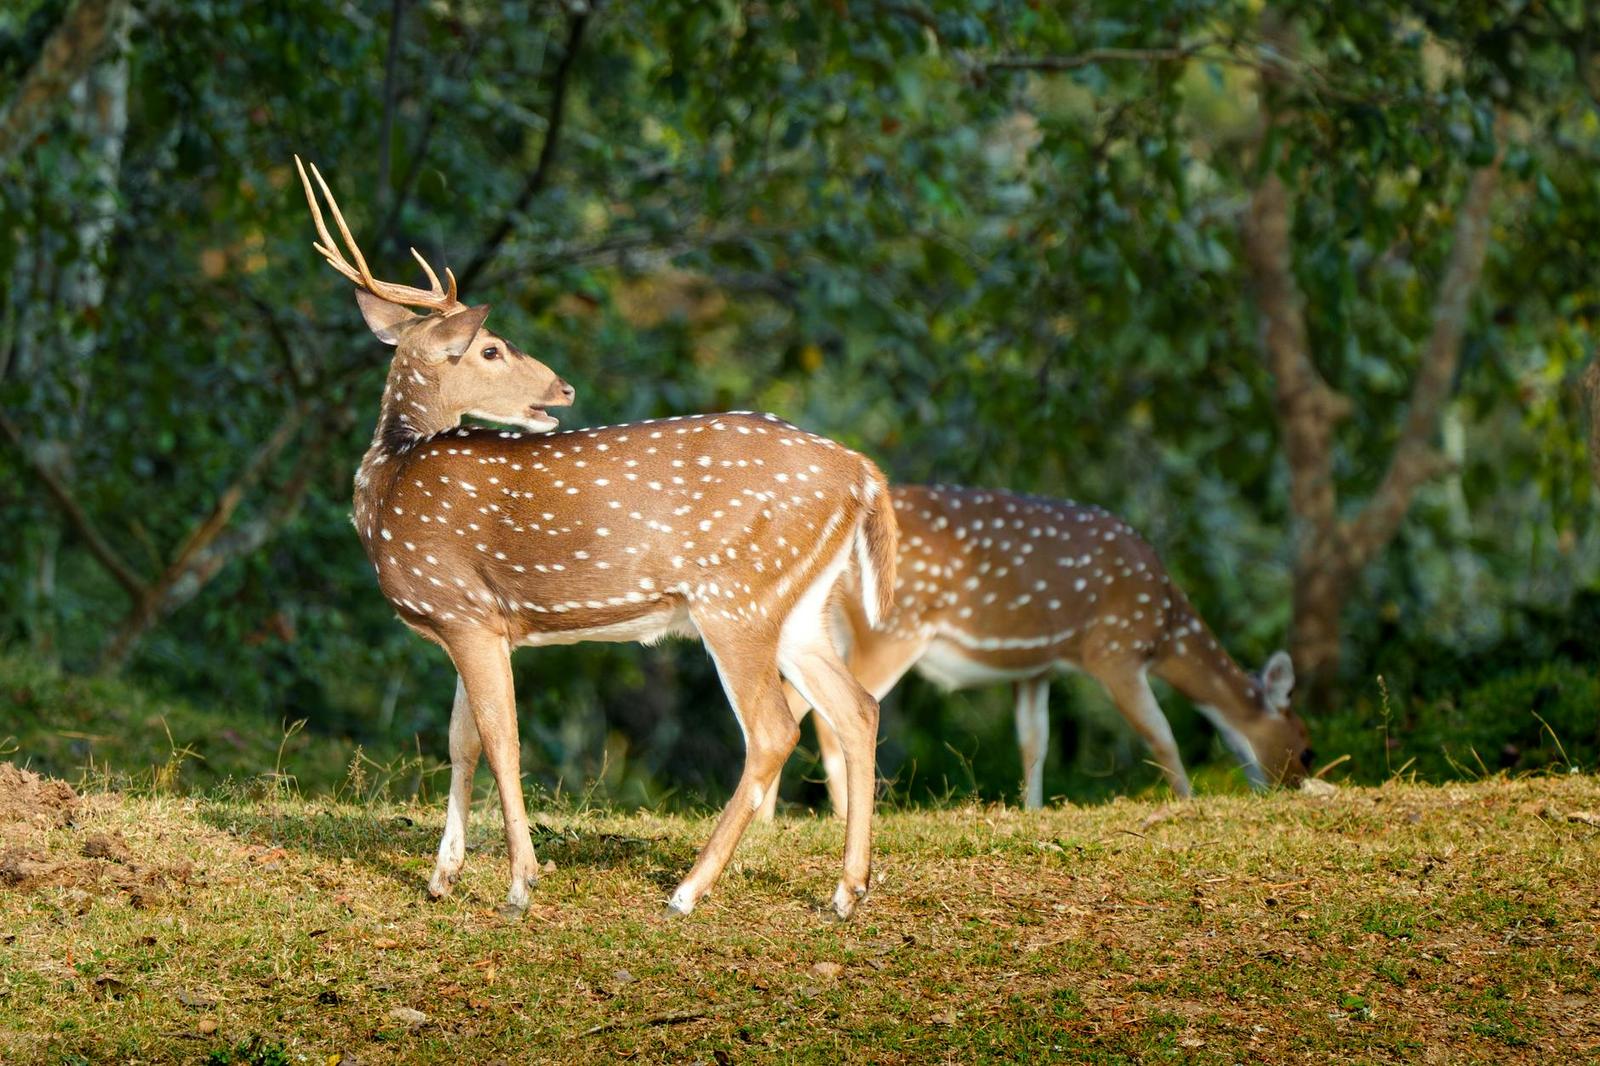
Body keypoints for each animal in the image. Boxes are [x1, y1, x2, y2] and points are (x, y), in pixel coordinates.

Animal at [295, 158, 898, 920]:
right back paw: (847, 890)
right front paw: (442, 876)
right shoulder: (472, 620)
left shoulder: (465, 611)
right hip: (798, 604)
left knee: (773, 729)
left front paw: (520, 883)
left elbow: (501, 739)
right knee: (857, 708)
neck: (392, 479)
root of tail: (863, 472)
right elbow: (463, 742)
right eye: (491, 347)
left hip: (737, 595)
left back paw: (689, 889)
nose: (564, 389)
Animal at [760, 485, 1312, 818]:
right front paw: (1186, 800)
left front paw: (1032, 809)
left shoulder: (1034, 667)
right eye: (1307, 748)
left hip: (831, 627)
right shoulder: (1114, 648)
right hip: (893, 629)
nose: (1295, 785)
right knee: (828, 711)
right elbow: (1160, 733)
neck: (1165, 624)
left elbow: (1034, 741)